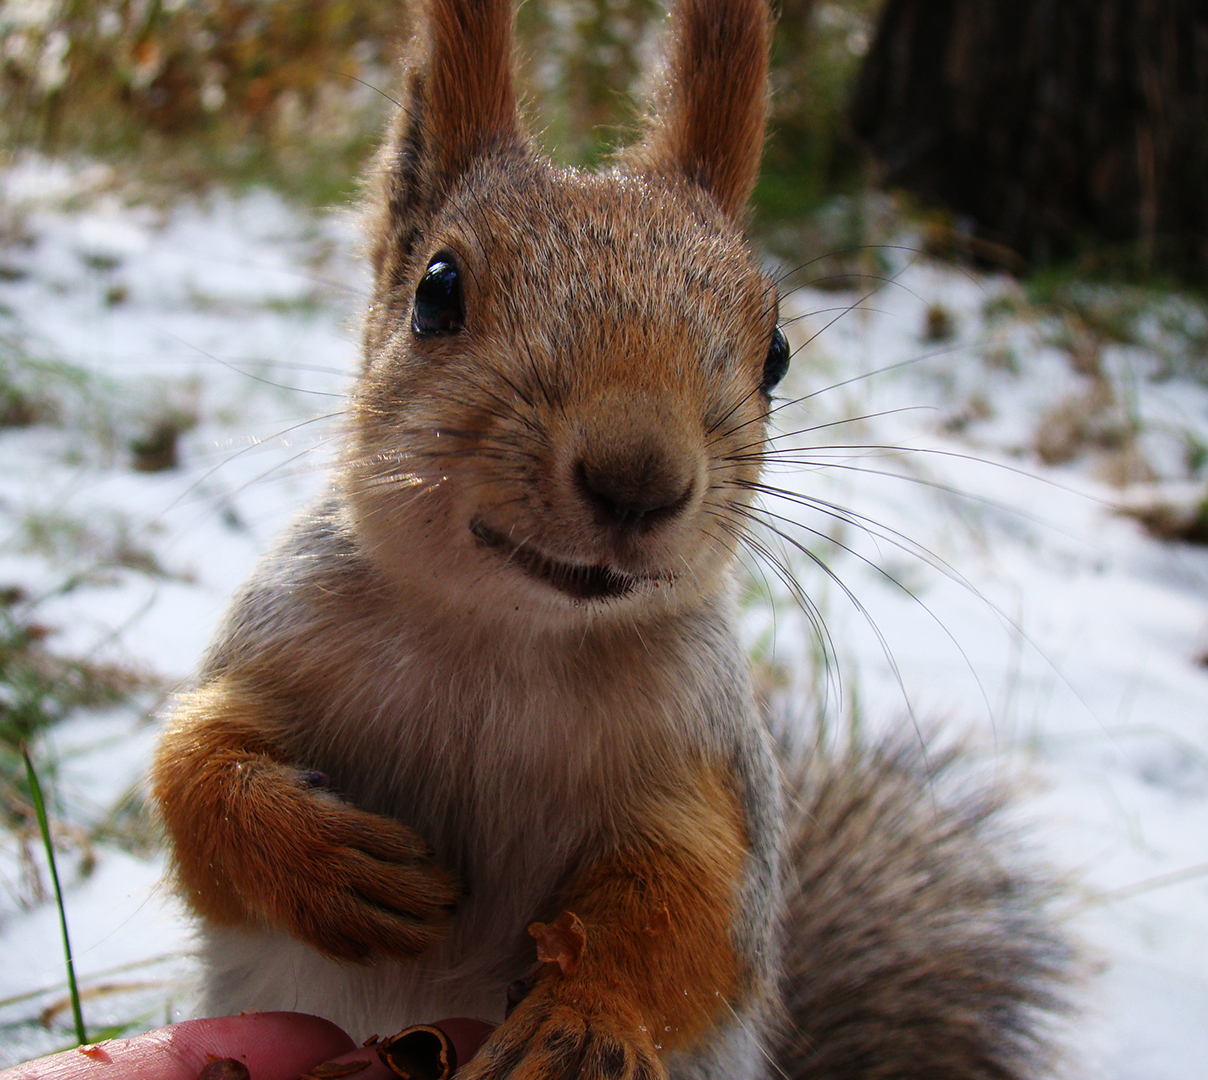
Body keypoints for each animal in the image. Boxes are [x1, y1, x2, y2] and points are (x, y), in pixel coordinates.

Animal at [148, 0, 1067, 1077]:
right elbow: (194, 772)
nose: (640, 479)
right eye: (436, 292)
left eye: (775, 352)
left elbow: (695, 915)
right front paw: (330, 862)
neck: (505, 636)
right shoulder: (277, 639)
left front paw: (589, 1020)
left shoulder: (702, 761)